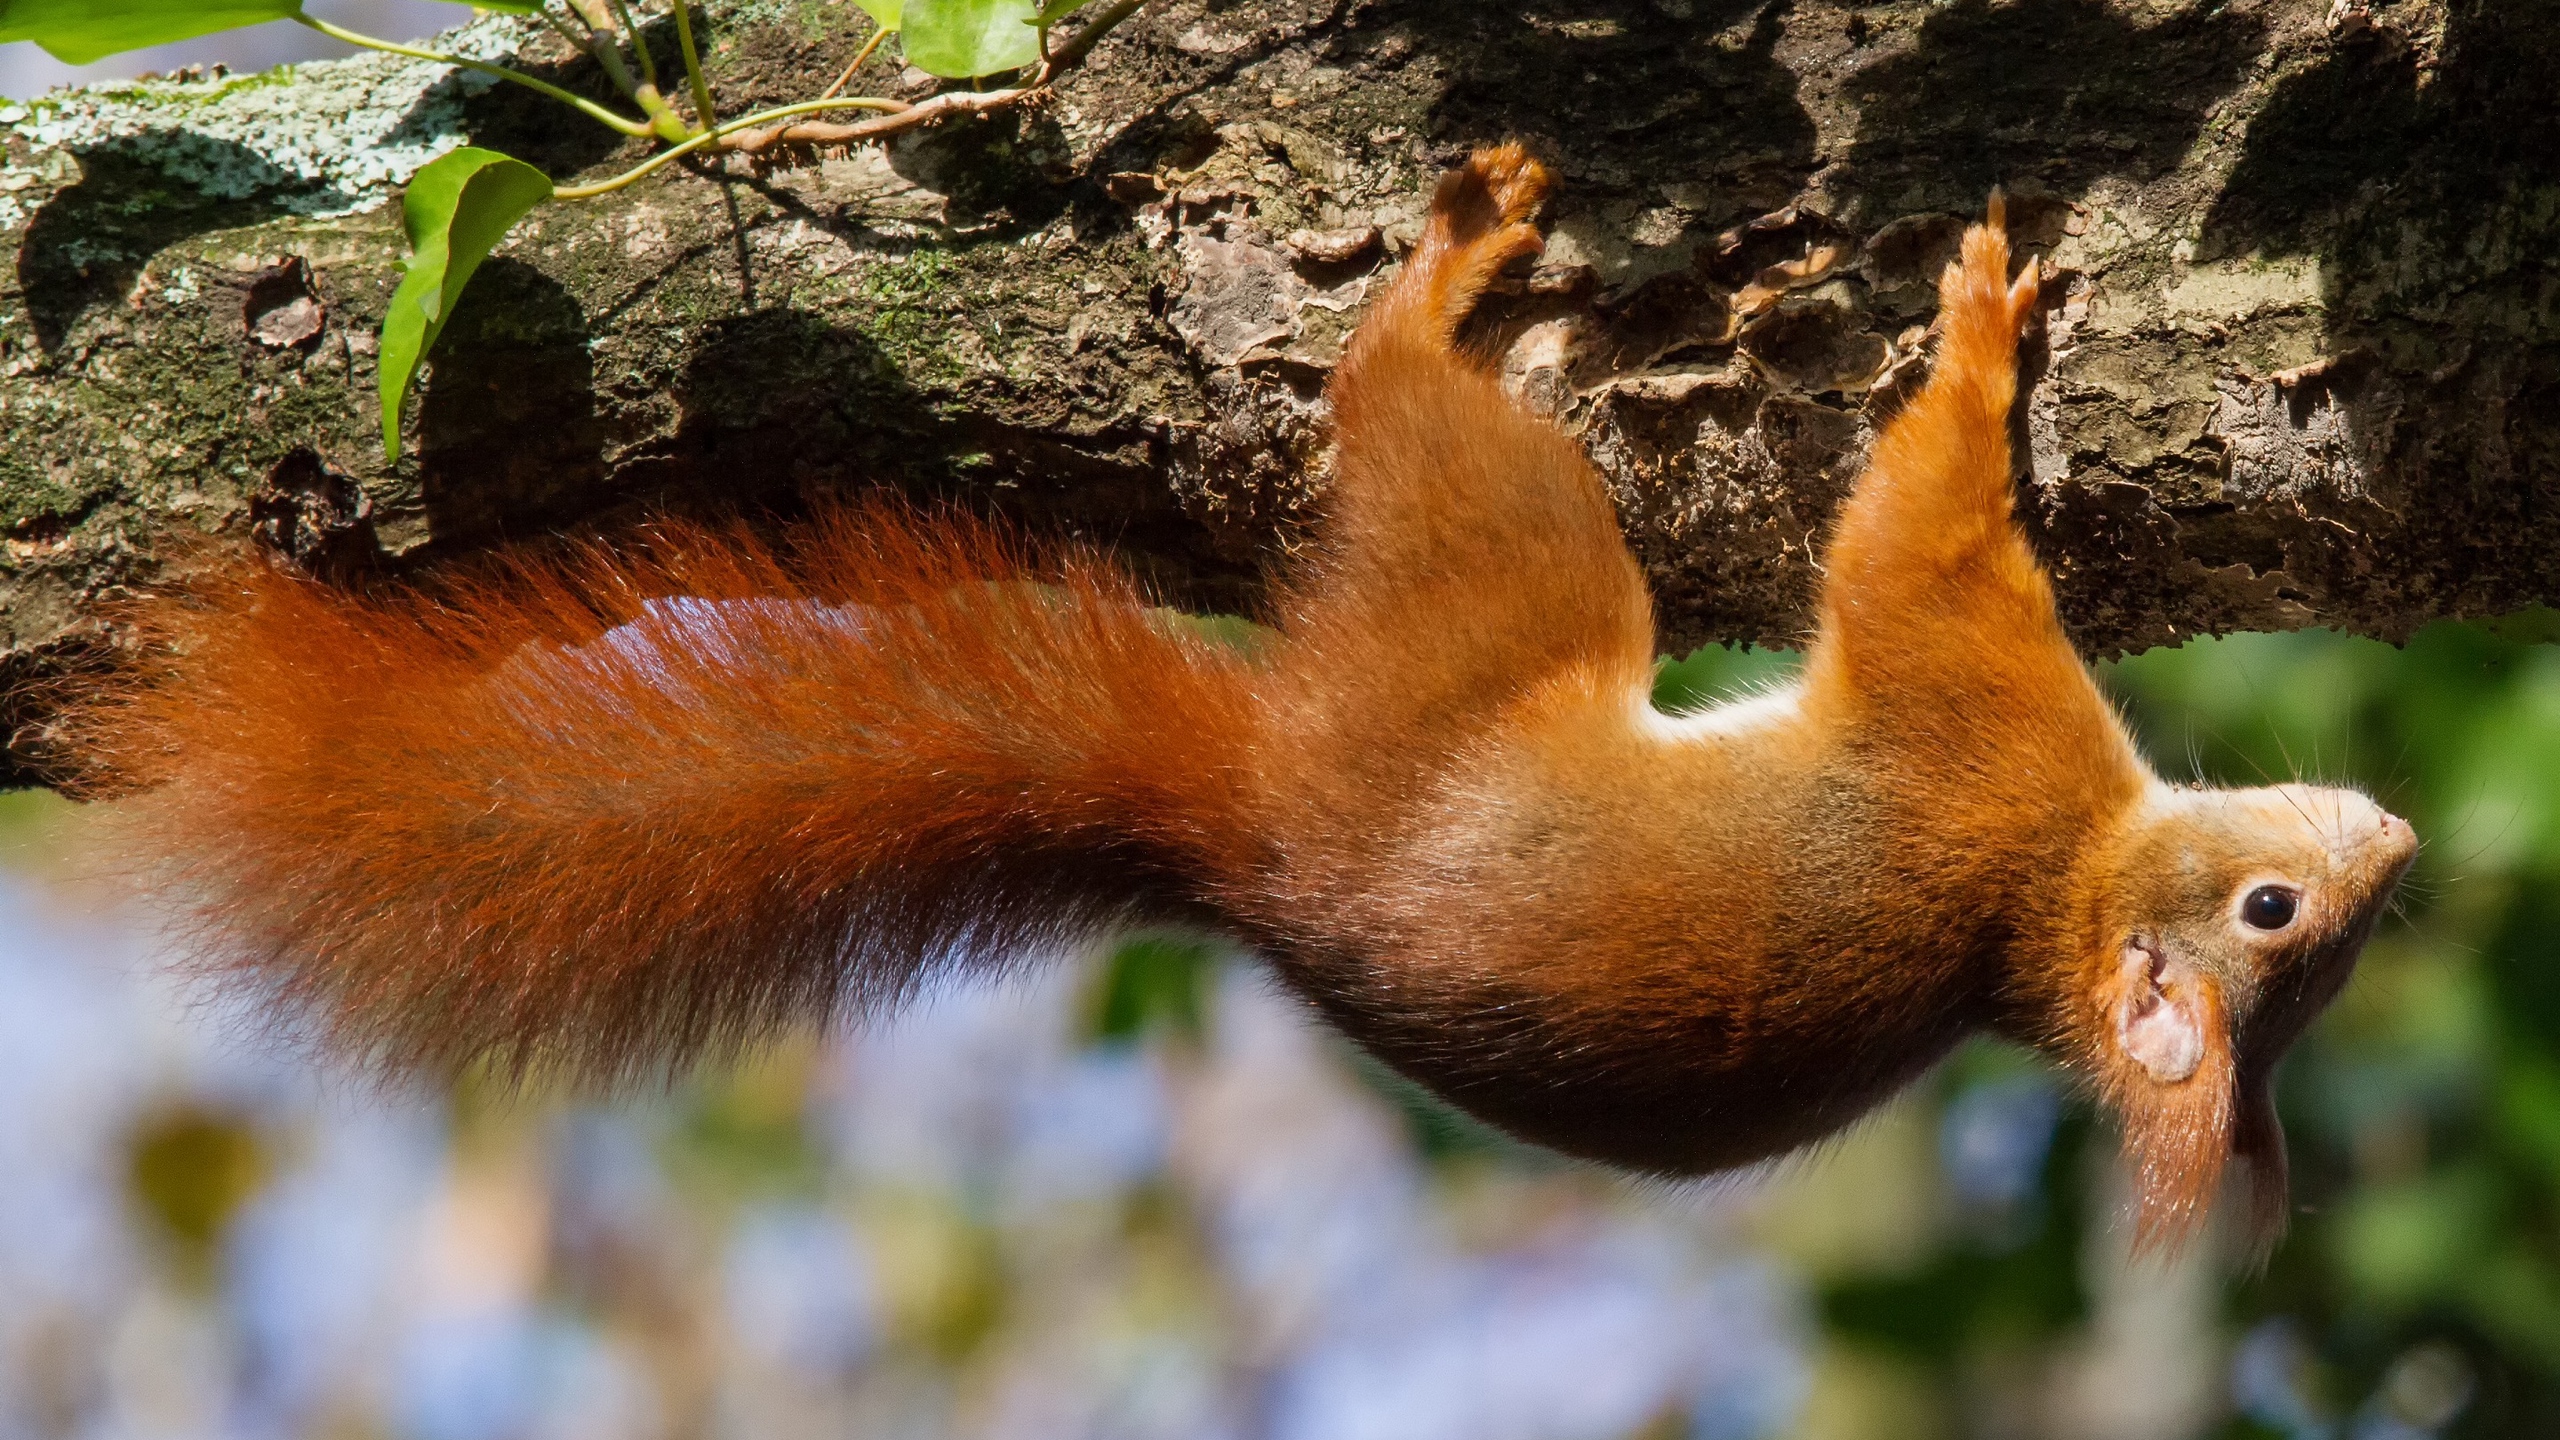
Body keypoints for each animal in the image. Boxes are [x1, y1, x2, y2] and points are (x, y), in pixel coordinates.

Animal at [78, 145, 2415, 1248]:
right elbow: (1919, 534)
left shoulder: (1967, 704)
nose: (2394, 836)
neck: (2054, 881)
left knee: (1416, 430)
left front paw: (1980, 335)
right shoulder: (1982, 720)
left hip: (1500, 572)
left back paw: (1433, 286)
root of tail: (1254, 827)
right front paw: (1993, 324)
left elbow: (1916, 535)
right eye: (2281, 920)